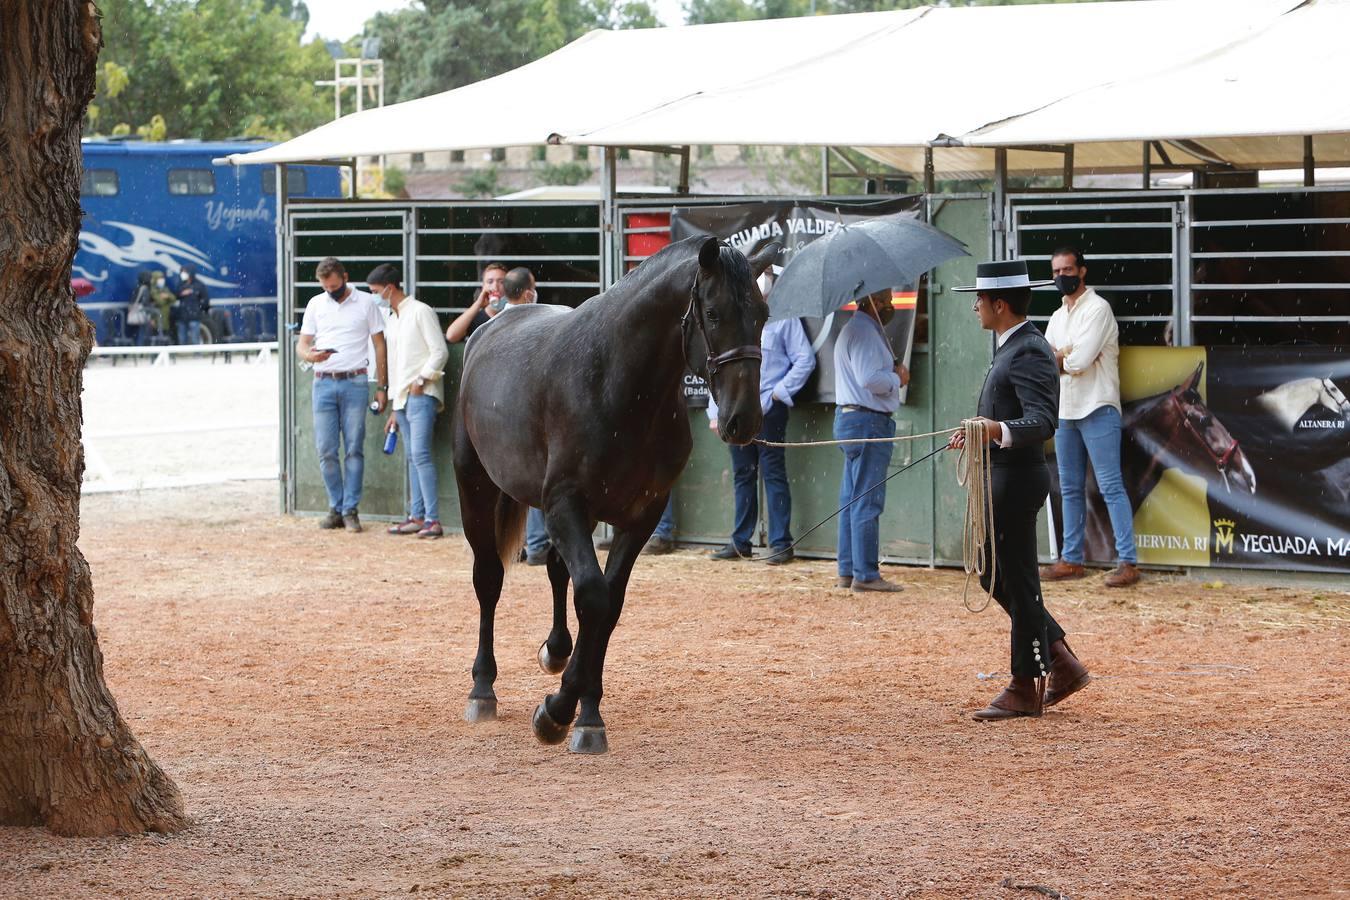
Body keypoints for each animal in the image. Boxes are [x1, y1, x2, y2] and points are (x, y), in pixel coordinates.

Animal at [453, 234, 777, 755]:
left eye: (764, 314)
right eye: (712, 313)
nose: (742, 420)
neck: (619, 385)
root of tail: (492, 325)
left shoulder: (640, 515)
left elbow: (609, 604)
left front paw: (586, 715)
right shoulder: (566, 504)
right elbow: (594, 596)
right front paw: (557, 712)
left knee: (556, 570)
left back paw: (556, 650)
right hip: (476, 488)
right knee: (489, 579)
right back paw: (483, 689)